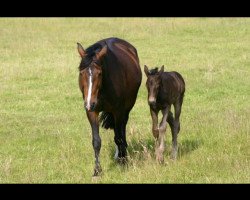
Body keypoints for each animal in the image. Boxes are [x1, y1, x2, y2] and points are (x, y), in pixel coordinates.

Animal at [76, 36, 143, 176]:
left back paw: (122, 155)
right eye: (81, 73)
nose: (89, 103)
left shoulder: (118, 111)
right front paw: (97, 171)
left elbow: (118, 137)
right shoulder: (92, 112)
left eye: (100, 73)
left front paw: (123, 162)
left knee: (122, 129)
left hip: (126, 108)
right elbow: (96, 141)